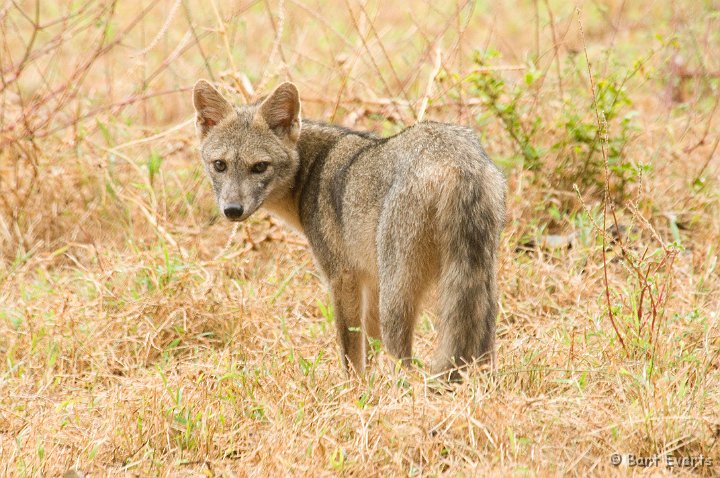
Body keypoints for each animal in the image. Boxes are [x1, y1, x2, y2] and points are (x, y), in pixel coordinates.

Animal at [191, 79, 506, 378]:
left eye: (259, 167)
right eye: (220, 165)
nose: (232, 210)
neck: (311, 169)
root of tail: (458, 162)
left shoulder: (343, 277)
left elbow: (351, 349)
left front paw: (354, 388)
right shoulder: (371, 277)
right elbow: (371, 345)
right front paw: (372, 383)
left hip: (398, 296)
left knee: (404, 361)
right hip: (479, 288)